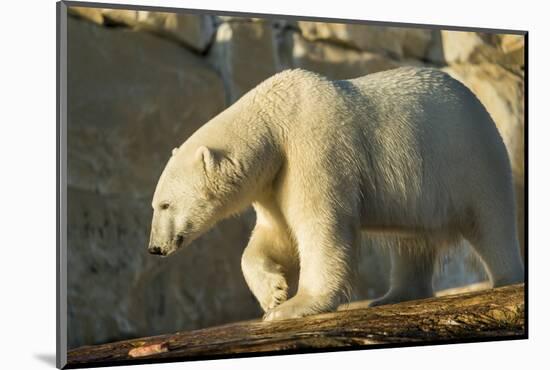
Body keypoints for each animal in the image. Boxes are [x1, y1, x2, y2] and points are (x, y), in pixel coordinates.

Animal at [148, 67, 528, 320]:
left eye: (165, 204)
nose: (154, 248)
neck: (273, 118)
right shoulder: (274, 180)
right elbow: (276, 235)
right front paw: (273, 294)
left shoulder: (312, 146)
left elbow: (319, 224)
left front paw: (294, 306)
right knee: (412, 241)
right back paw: (394, 295)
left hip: (468, 158)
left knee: (491, 221)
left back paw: (507, 279)